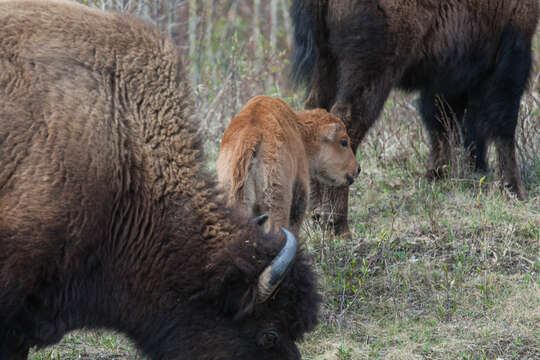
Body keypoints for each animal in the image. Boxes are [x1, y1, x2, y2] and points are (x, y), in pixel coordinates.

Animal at [294, 0, 536, 235]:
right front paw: (514, 191)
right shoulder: (513, 44)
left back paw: (315, 214)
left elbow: (442, 122)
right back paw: (338, 226)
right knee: (347, 121)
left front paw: (438, 175)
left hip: (326, 62)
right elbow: (504, 124)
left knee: (316, 112)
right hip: (370, 70)